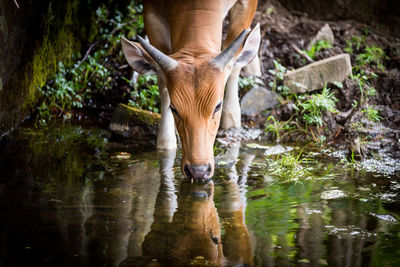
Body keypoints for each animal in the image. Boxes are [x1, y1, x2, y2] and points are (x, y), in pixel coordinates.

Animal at [121, 0, 260, 181]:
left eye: (217, 106)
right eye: (174, 108)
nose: (198, 170)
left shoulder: (247, 4)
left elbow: (235, 64)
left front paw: (232, 118)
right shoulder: (151, 11)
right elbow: (162, 83)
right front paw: (166, 143)